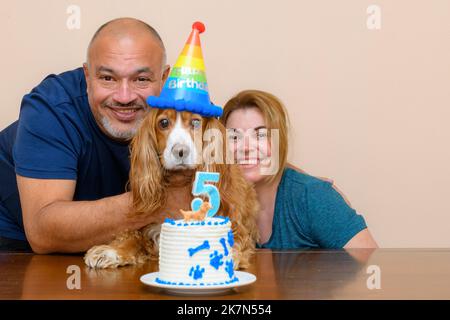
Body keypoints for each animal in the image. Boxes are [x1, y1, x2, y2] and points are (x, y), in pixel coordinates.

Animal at [85, 109, 260, 270]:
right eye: (163, 123)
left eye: (195, 122)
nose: (180, 151)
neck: (180, 181)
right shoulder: (149, 228)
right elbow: (132, 237)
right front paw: (111, 251)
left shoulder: (237, 228)